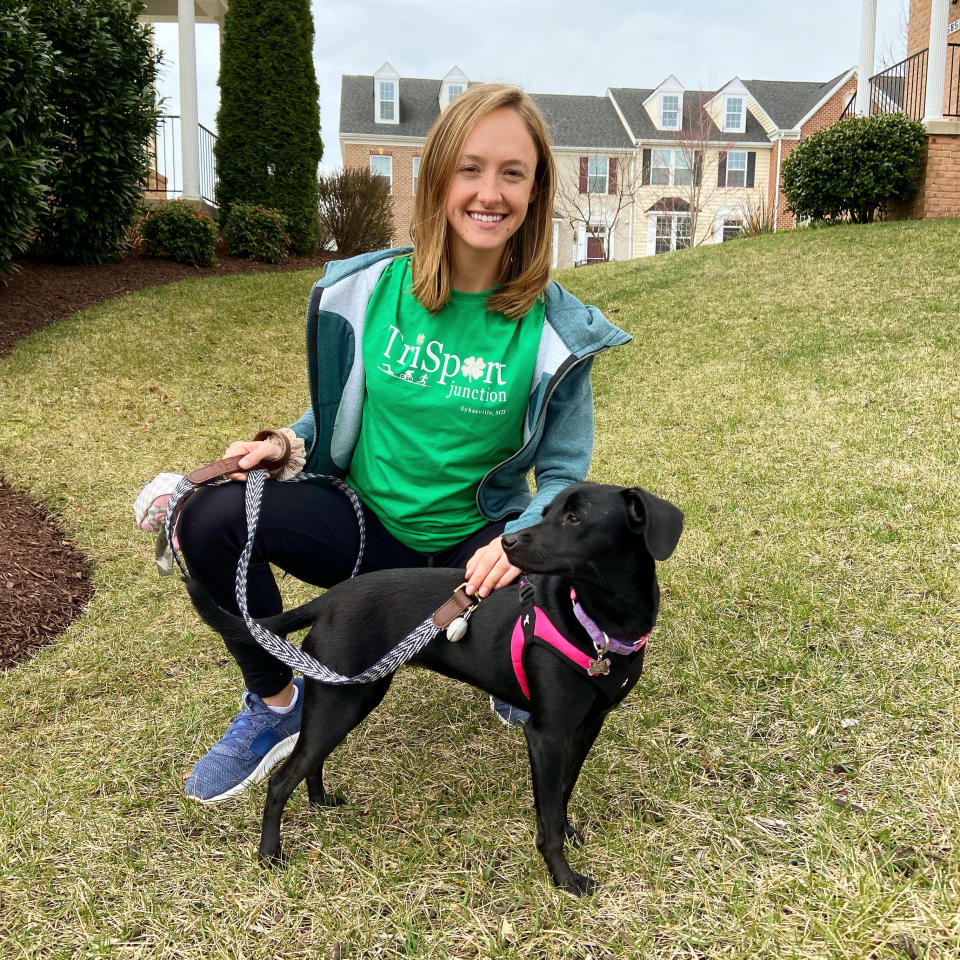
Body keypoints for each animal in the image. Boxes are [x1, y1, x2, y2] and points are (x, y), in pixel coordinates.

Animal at [184, 480, 684, 892]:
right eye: (546, 513)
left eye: (575, 518)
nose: (506, 542)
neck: (597, 624)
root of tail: (330, 599)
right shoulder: (545, 734)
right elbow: (548, 814)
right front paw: (563, 878)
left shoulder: (585, 727)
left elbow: (561, 793)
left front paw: (569, 833)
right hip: (341, 701)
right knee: (281, 780)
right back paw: (270, 854)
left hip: (351, 696)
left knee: (310, 761)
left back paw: (320, 800)